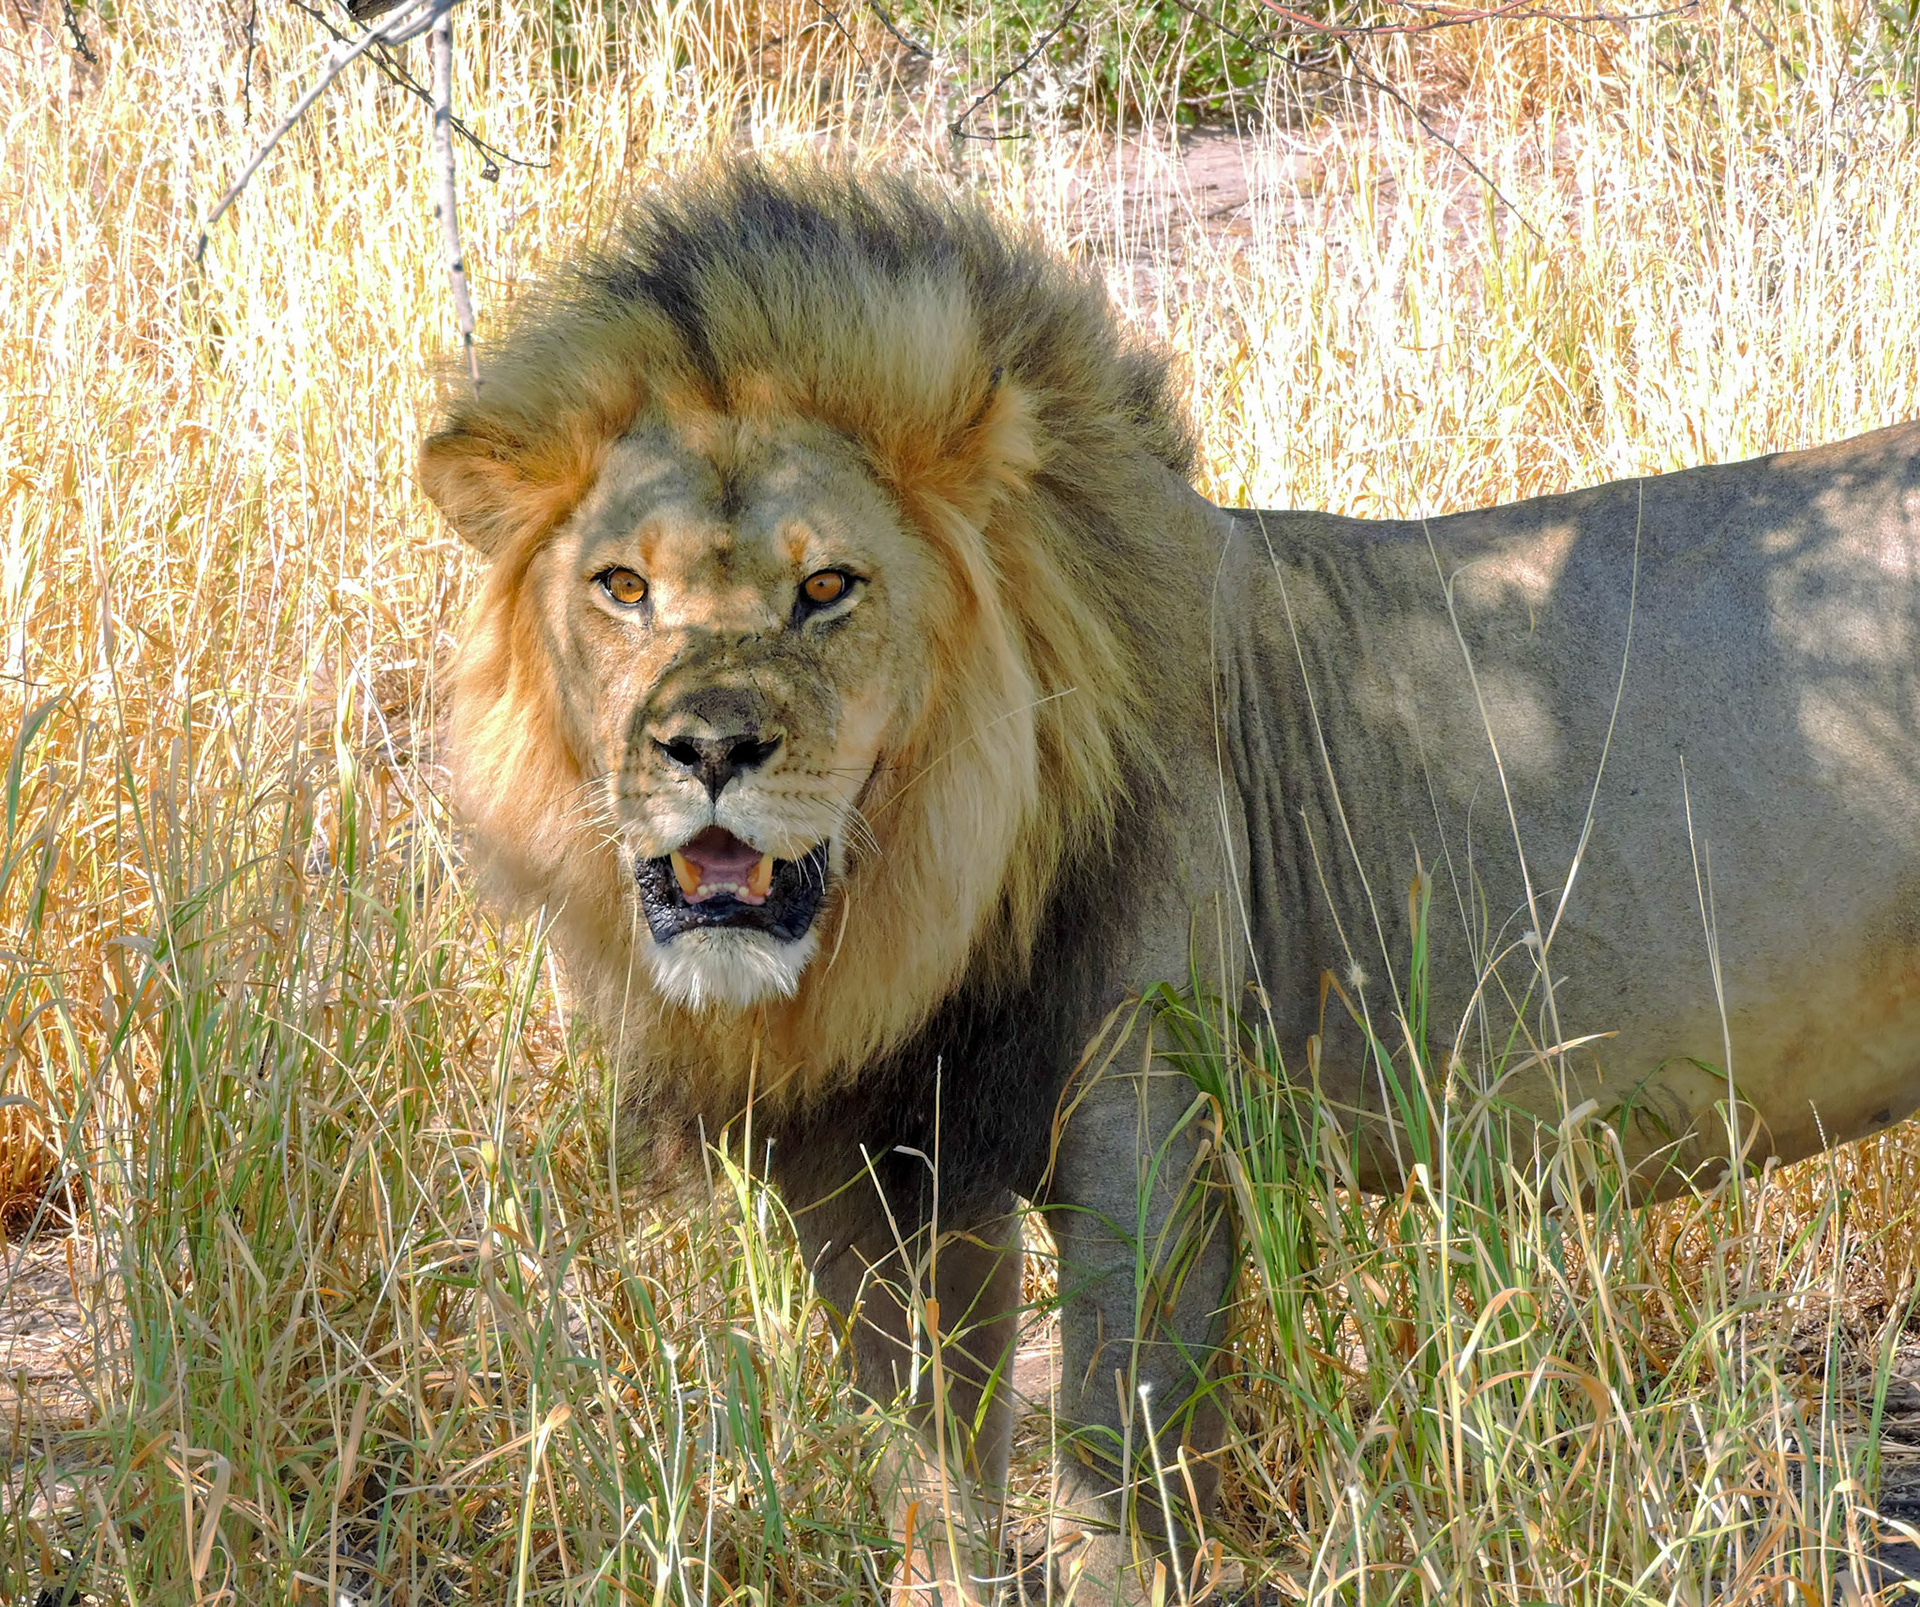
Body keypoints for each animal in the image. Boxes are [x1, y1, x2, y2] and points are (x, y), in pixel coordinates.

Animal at [421, 157, 1920, 1602]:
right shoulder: (868, 1166)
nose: (709, 746)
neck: (916, 910)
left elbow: (1112, 1464)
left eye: (829, 587)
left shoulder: (1155, 1125)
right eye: (623, 588)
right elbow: (934, 1469)